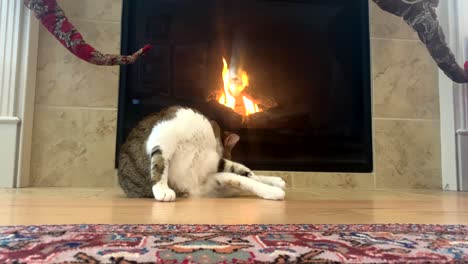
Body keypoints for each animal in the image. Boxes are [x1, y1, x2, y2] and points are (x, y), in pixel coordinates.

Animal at [117, 106, 286, 201]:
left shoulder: (210, 169)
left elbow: (243, 174)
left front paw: (271, 187)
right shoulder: (163, 135)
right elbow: (160, 165)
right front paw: (162, 189)